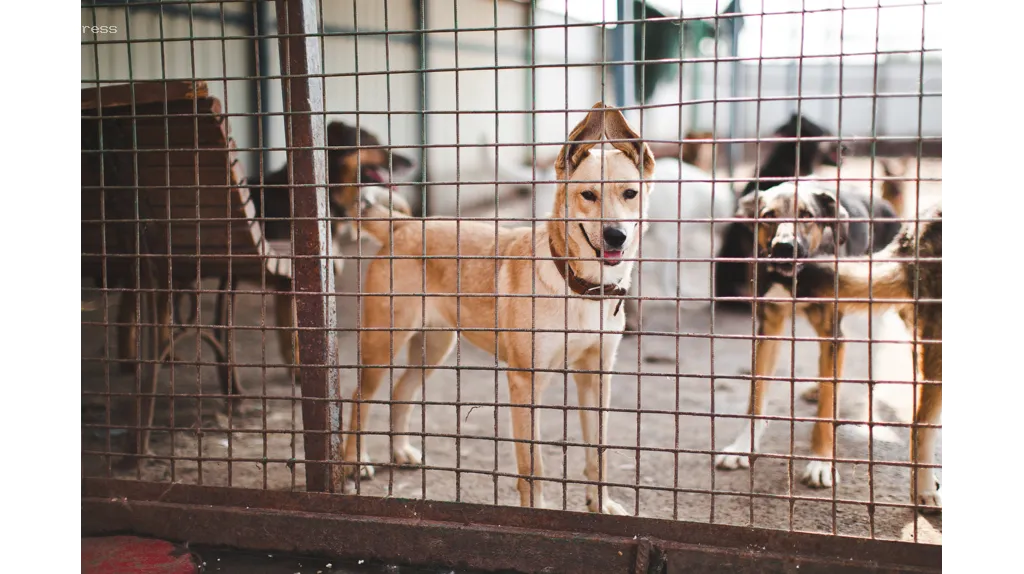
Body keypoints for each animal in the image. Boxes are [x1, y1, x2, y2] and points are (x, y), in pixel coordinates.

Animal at [335, 100, 655, 511]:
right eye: (588, 195)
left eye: (630, 193)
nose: (616, 235)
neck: (578, 287)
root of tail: (403, 225)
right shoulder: (525, 380)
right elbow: (532, 464)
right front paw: (536, 511)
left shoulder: (596, 376)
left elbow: (597, 452)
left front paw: (600, 505)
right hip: (382, 345)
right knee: (360, 397)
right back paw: (354, 461)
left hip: (434, 347)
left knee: (400, 392)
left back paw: (401, 451)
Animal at [712, 178, 905, 487]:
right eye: (768, 216)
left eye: (806, 215)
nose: (783, 247)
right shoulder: (768, 329)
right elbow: (756, 397)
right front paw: (742, 447)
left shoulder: (833, 333)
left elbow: (827, 409)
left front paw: (821, 462)